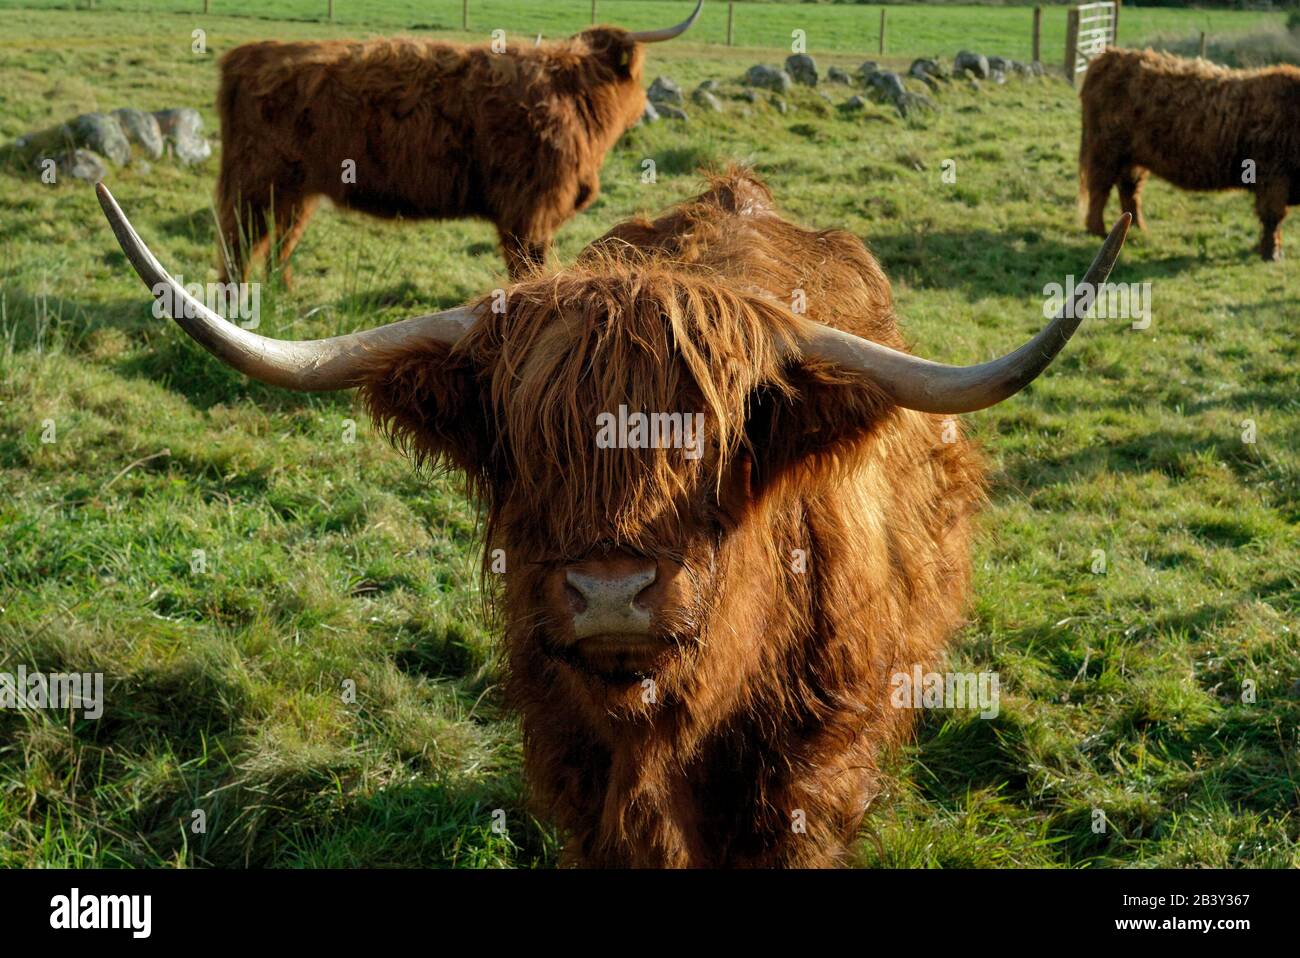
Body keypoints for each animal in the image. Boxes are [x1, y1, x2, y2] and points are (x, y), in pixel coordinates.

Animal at [214, 1, 702, 284]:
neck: (574, 95)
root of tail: (248, 53)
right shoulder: (528, 211)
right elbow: (528, 270)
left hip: (296, 192)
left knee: (278, 245)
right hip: (256, 185)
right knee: (239, 246)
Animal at [1080, 47, 1300, 261]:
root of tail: (1110, 55)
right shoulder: (1273, 177)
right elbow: (1273, 217)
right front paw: (1271, 253)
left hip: (1132, 157)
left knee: (1129, 189)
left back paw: (1137, 228)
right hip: (1105, 151)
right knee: (1100, 188)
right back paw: (1098, 230)